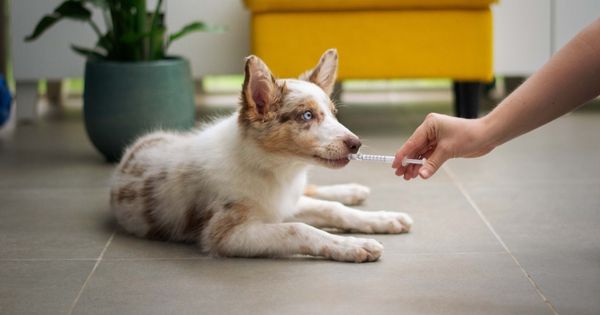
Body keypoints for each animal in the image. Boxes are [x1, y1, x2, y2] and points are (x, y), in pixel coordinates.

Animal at [110, 48, 412, 262]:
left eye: (334, 114)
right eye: (307, 115)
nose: (356, 144)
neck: (275, 168)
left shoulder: (284, 202)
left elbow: (332, 209)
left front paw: (381, 219)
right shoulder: (226, 234)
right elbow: (299, 228)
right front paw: (354, 245)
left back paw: (353, 191)